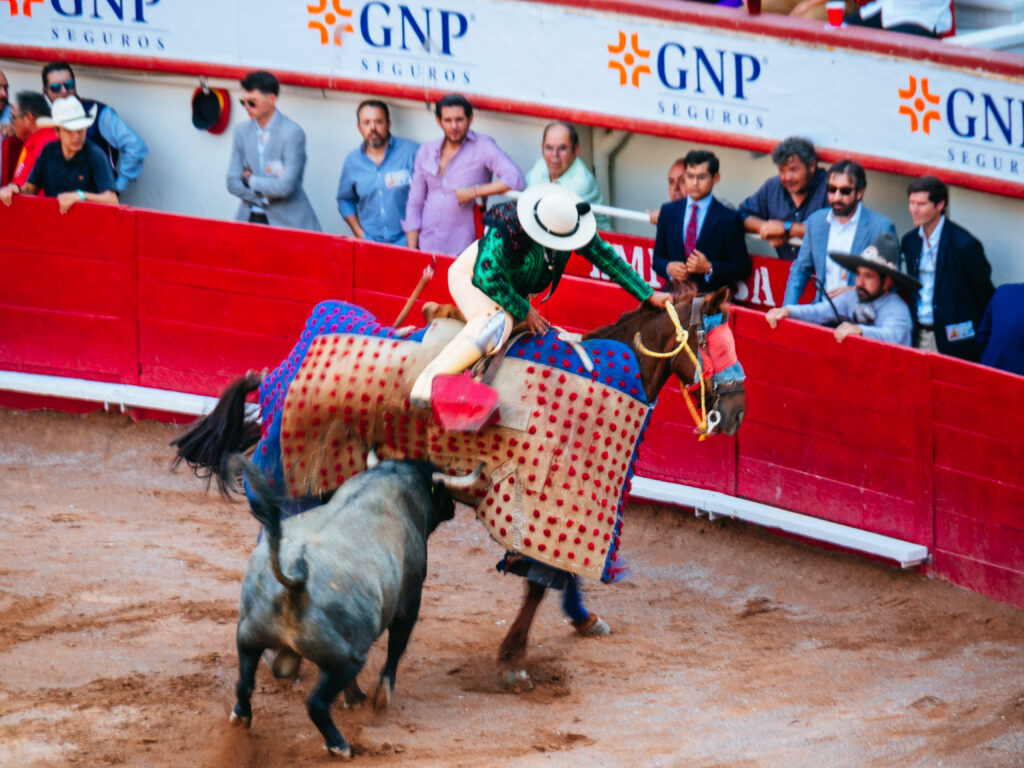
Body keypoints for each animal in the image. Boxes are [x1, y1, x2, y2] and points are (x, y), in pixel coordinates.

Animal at [167, 286, 745, 688]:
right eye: (712, 343)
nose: (736, 410)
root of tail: (283, 366)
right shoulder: (544, 505)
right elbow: (539, 583)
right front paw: (512, 662)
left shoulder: (566, 509)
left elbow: (560, 575)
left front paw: (584, 620)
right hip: (302, 471)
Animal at [232, 450, 483, 757]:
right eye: (440, 491)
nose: (453, 508)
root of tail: (293, 579)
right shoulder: (409, 604)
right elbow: (396, 648)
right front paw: (380, 696)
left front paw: (355, 700)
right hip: (348, 658)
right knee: (316, 703)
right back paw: (339, 745)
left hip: (248, 638)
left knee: (245, 685)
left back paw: (241, 717)